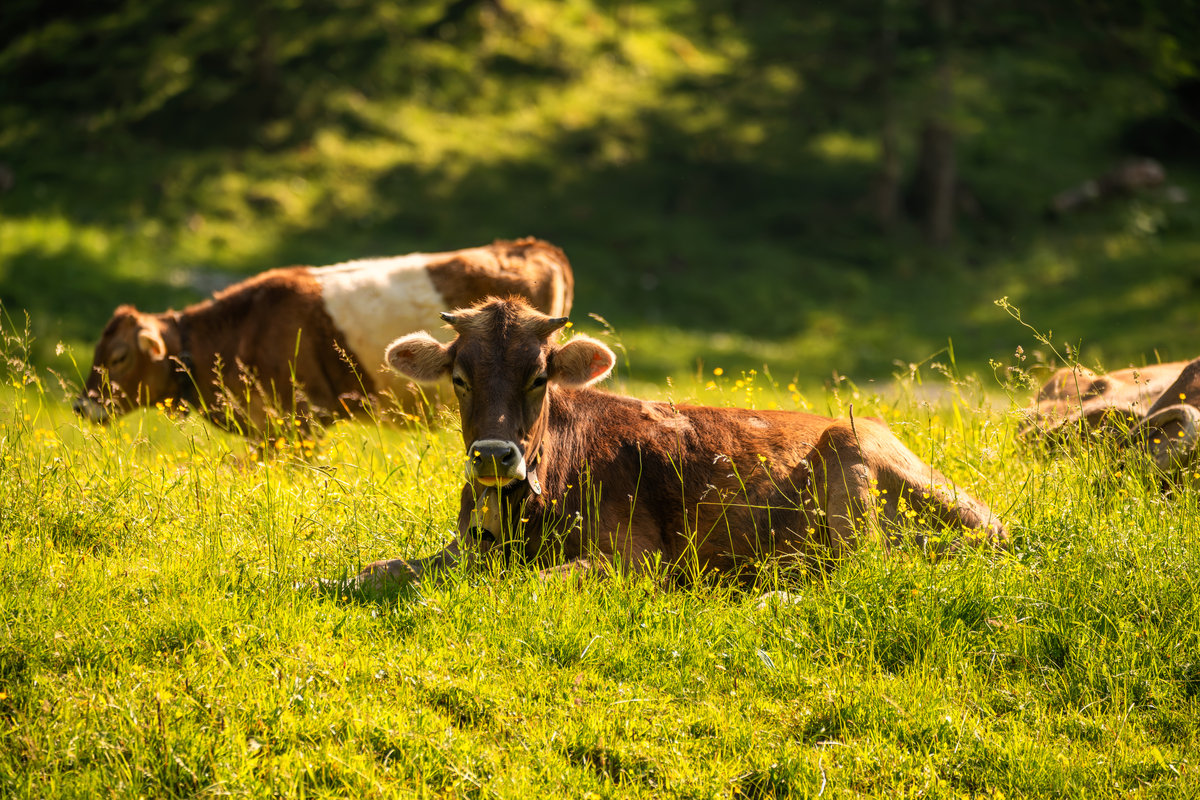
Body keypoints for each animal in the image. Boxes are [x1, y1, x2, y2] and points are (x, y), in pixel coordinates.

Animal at [354, 298, 1009, 588]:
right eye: (459, 379)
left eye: (539, 376)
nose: (493, 455)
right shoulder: (465, 544)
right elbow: (376, 569)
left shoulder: (639, 555)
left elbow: (530, 582)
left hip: (851, 457)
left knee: (859, 572)